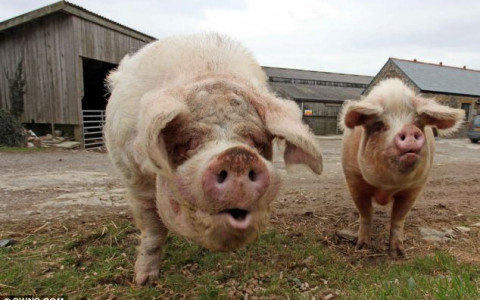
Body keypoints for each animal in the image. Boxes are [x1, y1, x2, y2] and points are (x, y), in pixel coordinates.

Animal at [104, 33, 322, 286]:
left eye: (257, 142)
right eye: (188, 142)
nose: (237, 156)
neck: (213, 74)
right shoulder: (134, 177)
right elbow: (153, 229)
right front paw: (144, 282)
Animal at [340, 78, 464, 256]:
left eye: (418, 123)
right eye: (378, 125)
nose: (410, 130)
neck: (387, 187)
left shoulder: (415, 187)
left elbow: (399, 218)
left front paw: (399, 253)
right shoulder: (354, 181)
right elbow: (366, 213)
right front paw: (361, 247)